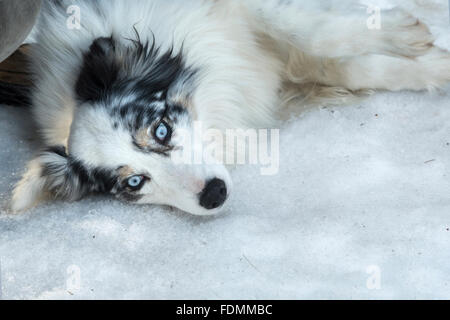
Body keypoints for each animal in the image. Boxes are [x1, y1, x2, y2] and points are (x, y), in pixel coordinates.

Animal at [6, 0, 450, 215]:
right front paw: (433, 66)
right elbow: (349, 67)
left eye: (161, 130)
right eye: (134, 183)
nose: (214, 195)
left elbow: (310, 33)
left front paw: (404, 34)